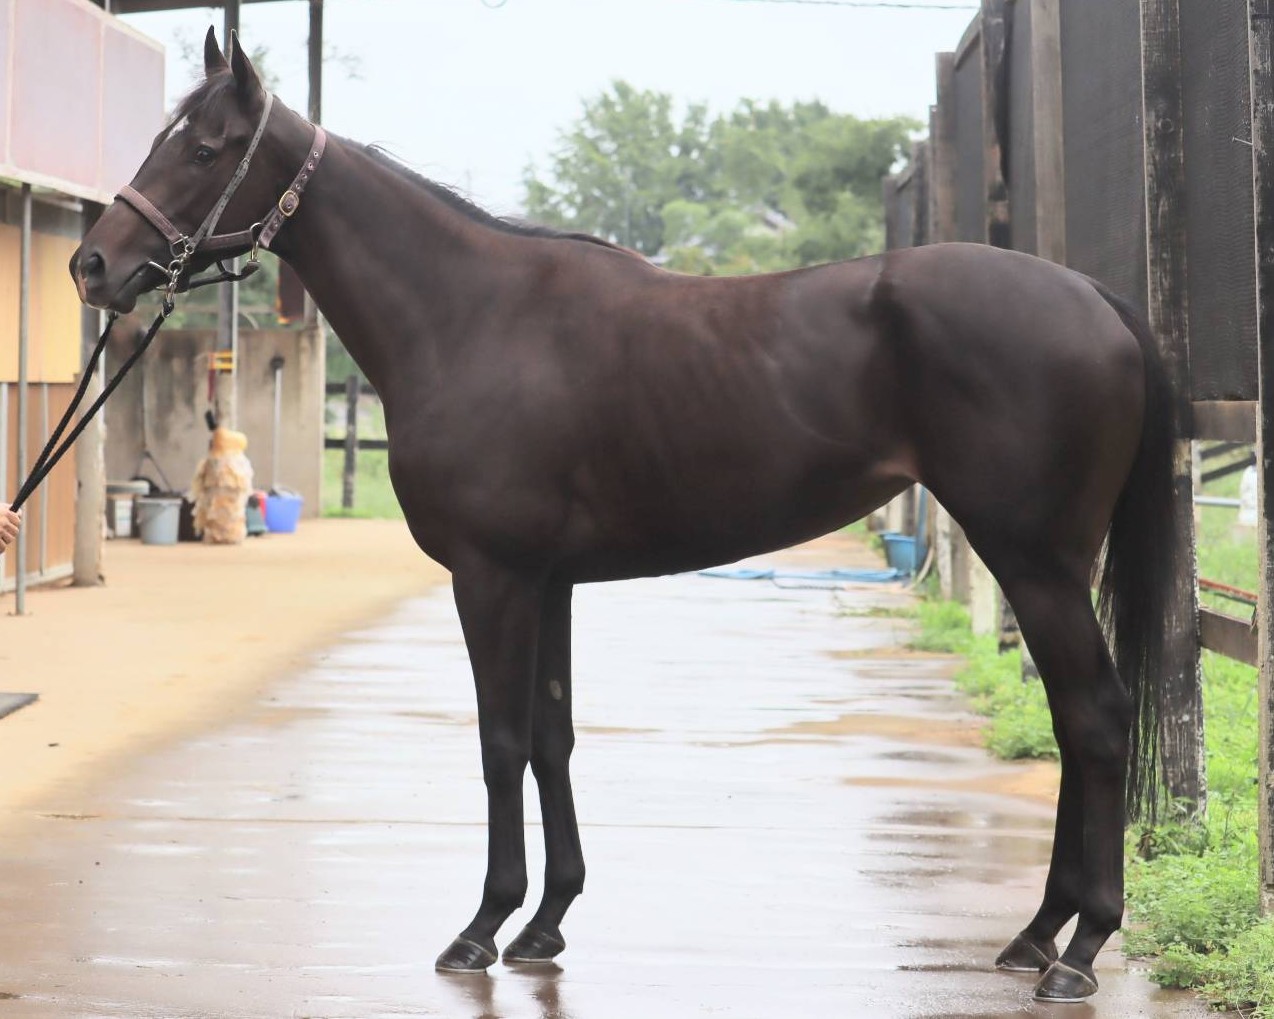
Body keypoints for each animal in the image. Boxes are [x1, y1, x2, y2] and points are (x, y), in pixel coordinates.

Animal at [70, 29, 1179, 1004]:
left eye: (203, 149)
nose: (93, 266)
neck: (472, 316)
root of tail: (1095, 296)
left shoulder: (492, 577)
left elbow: (501, 740)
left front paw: (482, 925)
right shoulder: (549, 580)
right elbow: (553, 736)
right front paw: (546, 922)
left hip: (1035, 557)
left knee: (1094, 715)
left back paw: (1080, 947)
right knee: (1072, 719)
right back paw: (1036, 932)